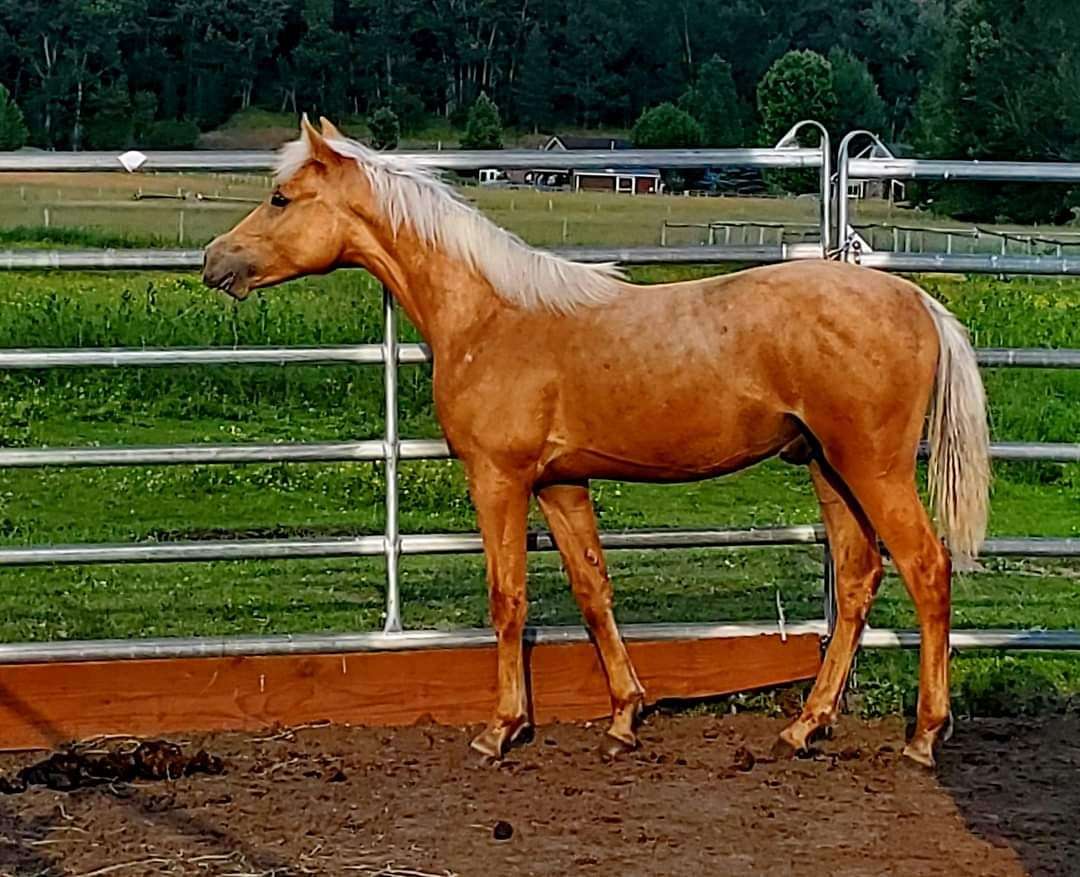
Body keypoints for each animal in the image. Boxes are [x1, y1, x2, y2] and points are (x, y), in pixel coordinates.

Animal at [203, 118, 989, 768]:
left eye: (280, 198)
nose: (214, 261)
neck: (490, 314)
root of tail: (917, 300)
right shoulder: (560, 483)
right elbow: (592, 590)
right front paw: (623, 717)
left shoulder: (500, 479)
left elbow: (509, 597)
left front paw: (501, 729)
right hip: (830, 469)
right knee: (858, 580)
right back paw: (803, 727)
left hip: (874, 469)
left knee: (927, 569)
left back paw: (924, 735)